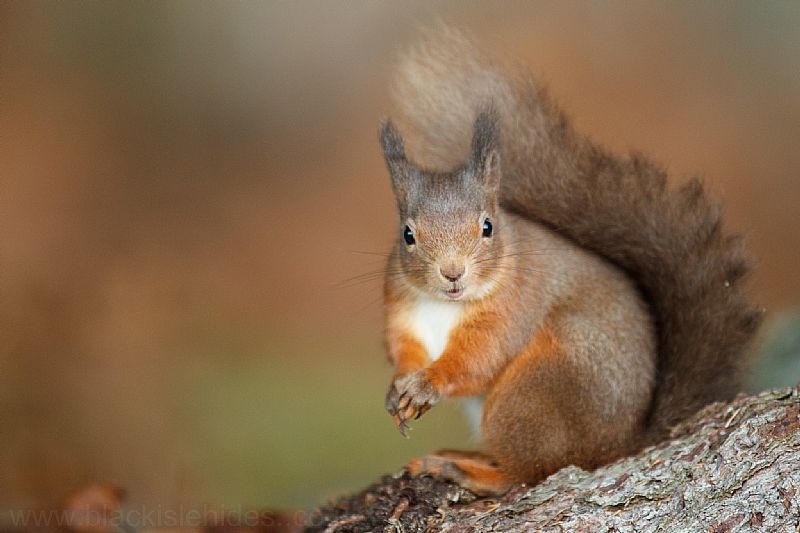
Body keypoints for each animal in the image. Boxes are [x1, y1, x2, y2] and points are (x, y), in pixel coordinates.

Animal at [378, 30, 760, 494]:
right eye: (407, 235)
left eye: (488, 226)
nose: (452, 273)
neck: (444, 305)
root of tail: (618, 445)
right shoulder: (402, 309)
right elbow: (404, 350)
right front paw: (398, 388)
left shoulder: (514, 305)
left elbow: (480, 357)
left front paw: (428, 382)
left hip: (534, 393)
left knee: (529, 471)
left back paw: (465, 469)